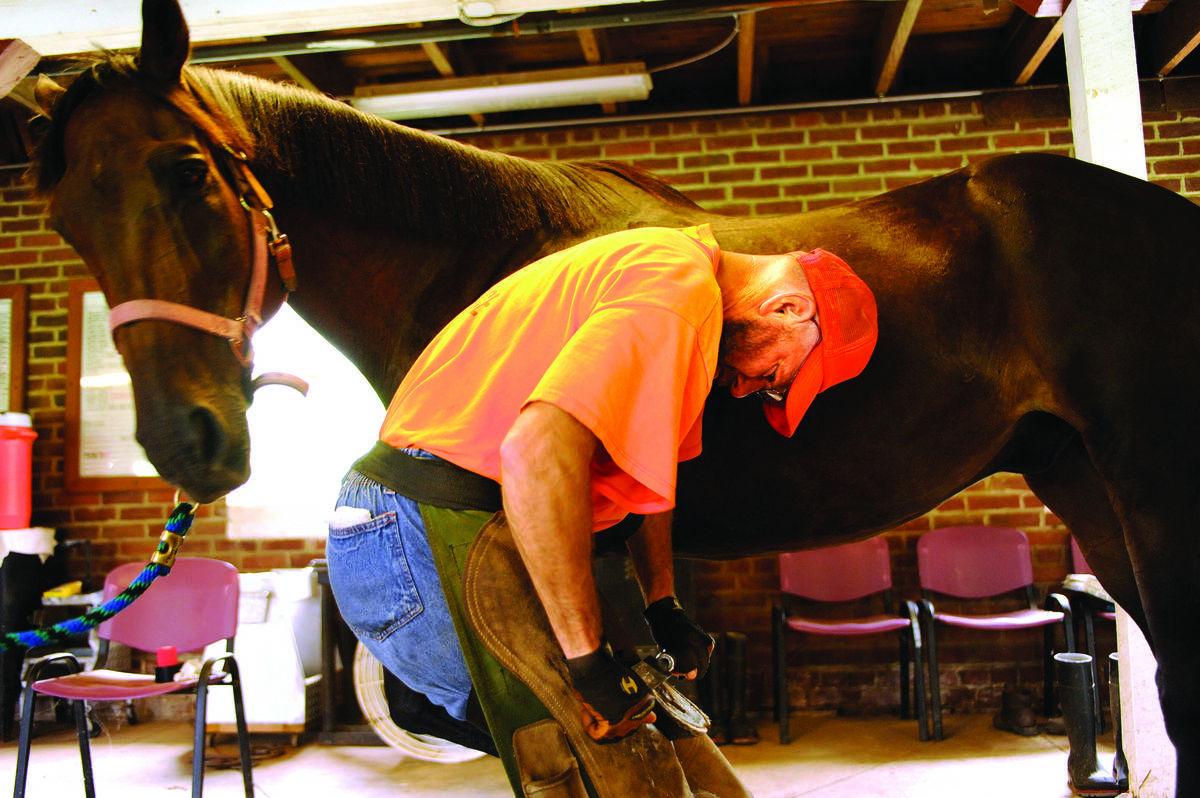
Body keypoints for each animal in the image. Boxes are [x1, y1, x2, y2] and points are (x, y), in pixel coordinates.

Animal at [25, 0, 1199, 791]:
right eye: (68, 219)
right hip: (1087, 486)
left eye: (185, 171)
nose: (190, 442)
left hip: (1149, 494)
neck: (475, 256)